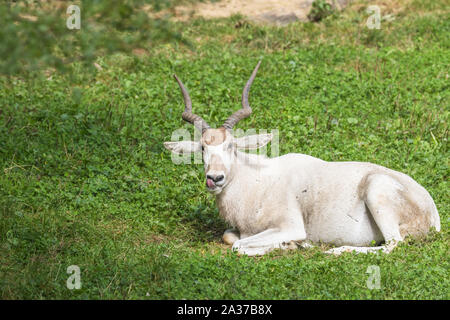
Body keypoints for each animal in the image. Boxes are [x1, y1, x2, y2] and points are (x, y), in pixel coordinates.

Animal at [163, 61, 440, 256]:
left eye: (231, 146)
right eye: (202, 148)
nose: (215, 178)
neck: (256, 181)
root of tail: (433, 214)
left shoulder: (291, 226)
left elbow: (238, 246)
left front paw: (293, 245)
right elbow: (230, 237)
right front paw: (293, 246)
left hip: (376, 190)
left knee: (393, 245)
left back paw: (337, 251)